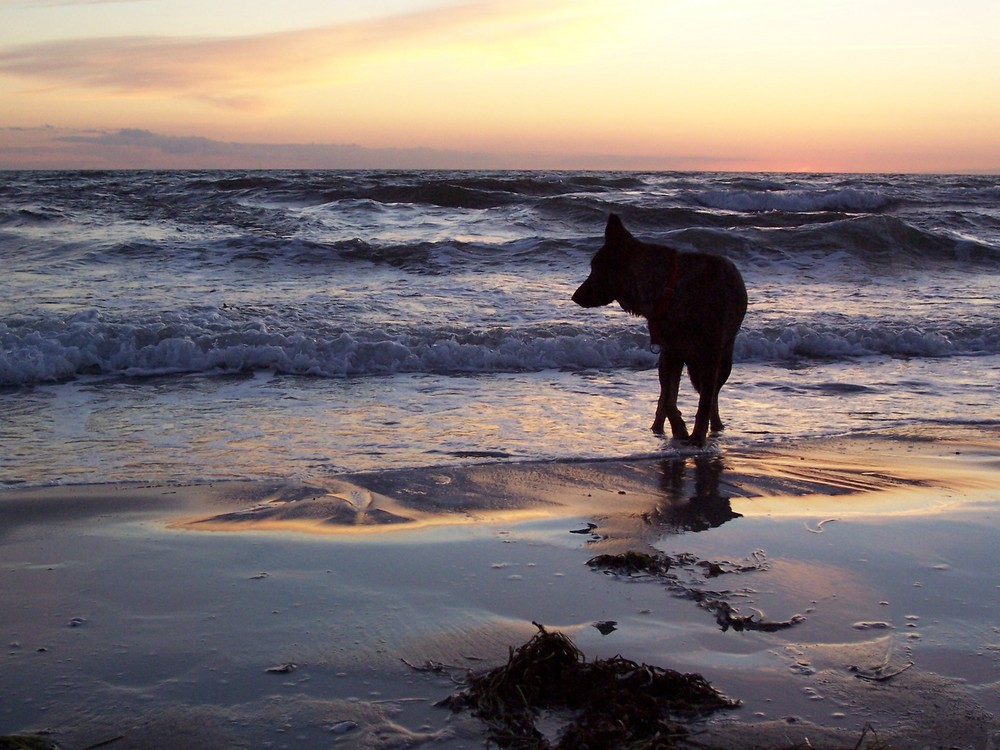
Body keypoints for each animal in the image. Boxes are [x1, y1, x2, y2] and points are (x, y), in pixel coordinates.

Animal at [576, 213, 748, 446]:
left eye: (595, 270)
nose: (574, 297)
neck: (669, 289)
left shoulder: (709, 357)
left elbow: (703, 403)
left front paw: (696, 437)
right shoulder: (670, 355)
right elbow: (668, 400)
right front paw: (680, 430)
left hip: (721, 362)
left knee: (711, 396)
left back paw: (715, 427)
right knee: (666, 398)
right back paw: (658, 428)